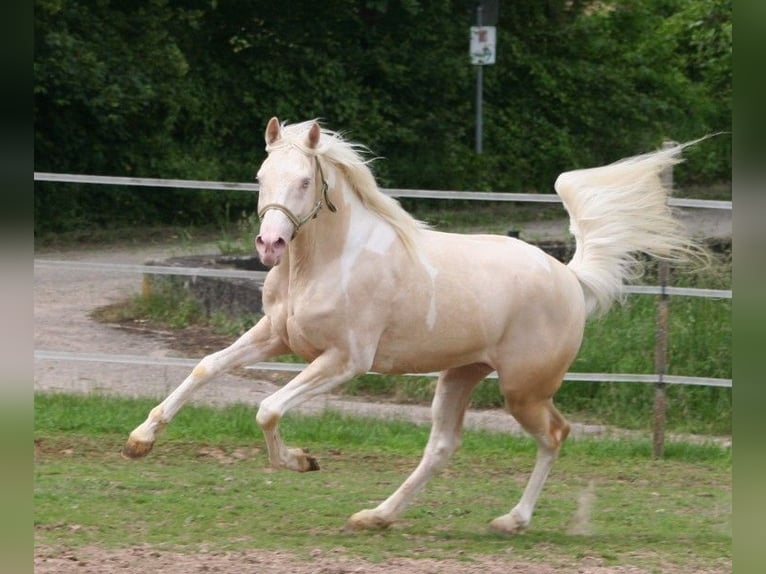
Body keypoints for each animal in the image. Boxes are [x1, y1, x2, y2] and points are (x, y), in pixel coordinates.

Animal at [124, 118, 708, 536]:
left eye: (305, 180)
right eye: (261, 178)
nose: (270, 245)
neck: (326, 261)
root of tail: (568, 274)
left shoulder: (343, 361)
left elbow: (267, 408)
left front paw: (303, 461)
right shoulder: (276, 335)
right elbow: (206, 367)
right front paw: (139, 441)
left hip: (523, 389)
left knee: (555, 434)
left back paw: (511, 521)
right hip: (461, 374)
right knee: (443, 447)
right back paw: (375, 516)